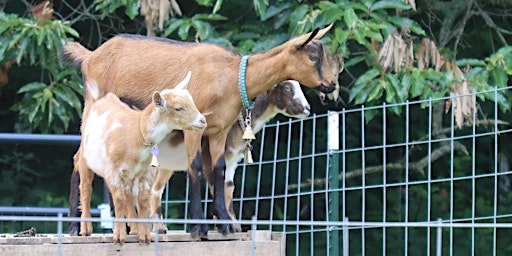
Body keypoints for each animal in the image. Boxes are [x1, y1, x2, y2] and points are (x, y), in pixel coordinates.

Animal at [63, 24, 336, 238]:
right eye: (313, 56)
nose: (332, 84)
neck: (230, 76)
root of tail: (90, 56)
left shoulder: (218, 130)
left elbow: (218, 170)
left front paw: (225, 224)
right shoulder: (194, 127)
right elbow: (195, 166)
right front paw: (198, 226)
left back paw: (126, 226)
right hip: (92, 107)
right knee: (80, 159)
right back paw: (78, 228)